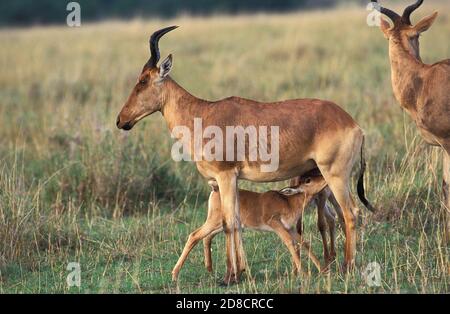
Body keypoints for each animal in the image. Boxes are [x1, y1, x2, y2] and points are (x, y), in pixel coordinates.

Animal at [172, 175, 334, 280]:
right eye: (308, 180)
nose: (325, 178)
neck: (288, 202)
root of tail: (215, 189)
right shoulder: (276, 224)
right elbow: (290, 243)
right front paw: (305, 274)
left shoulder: (290, 228)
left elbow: (304, 243)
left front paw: (323, 270)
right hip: (213, 222)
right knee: (194, 235)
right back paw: (175, 274)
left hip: (220, 225)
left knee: (206, 238)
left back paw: (210, 269)